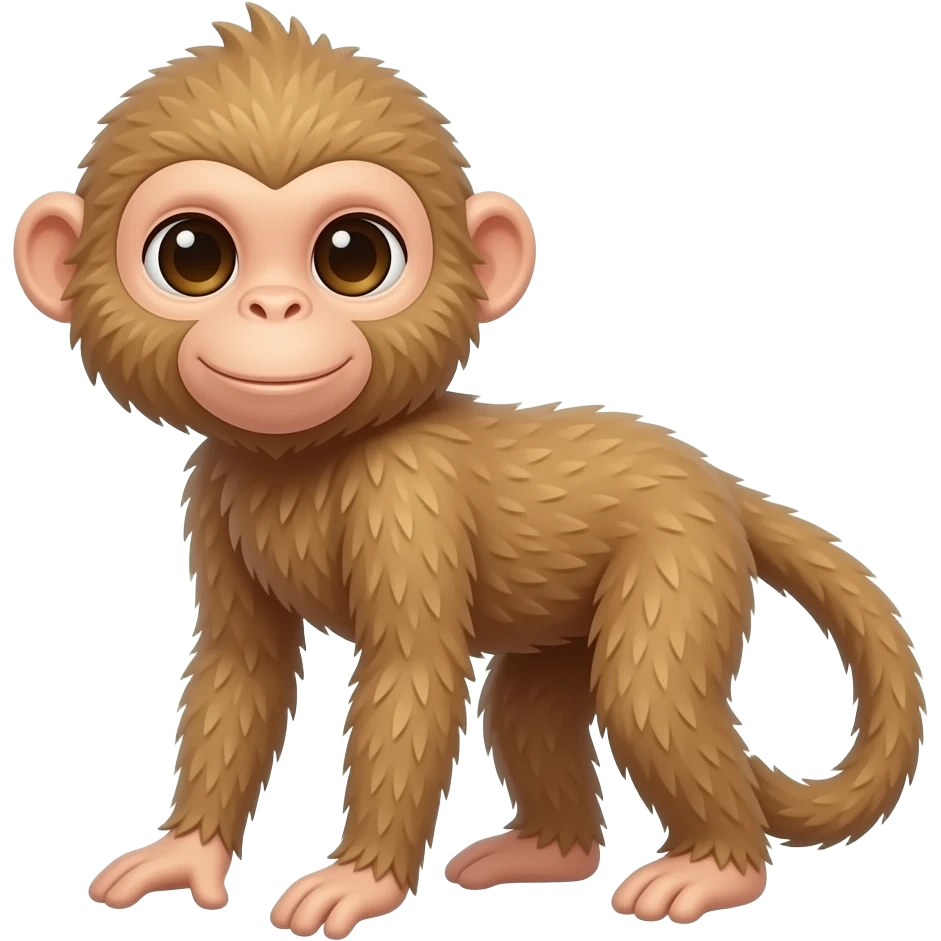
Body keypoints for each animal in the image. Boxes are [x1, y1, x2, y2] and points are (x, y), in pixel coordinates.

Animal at [13, 5, 925, 936]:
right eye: (193, 256)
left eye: (352, 255)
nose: (274, 307)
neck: (308, 457)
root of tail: (708, 474)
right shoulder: (210, 488)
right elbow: (242, 664)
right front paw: (186, 851)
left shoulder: (405, 495)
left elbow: (411, 673)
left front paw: (362, 878)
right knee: (527, 707)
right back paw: (550, 852)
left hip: (680, 560)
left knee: (649, 693)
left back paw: (715, 867)